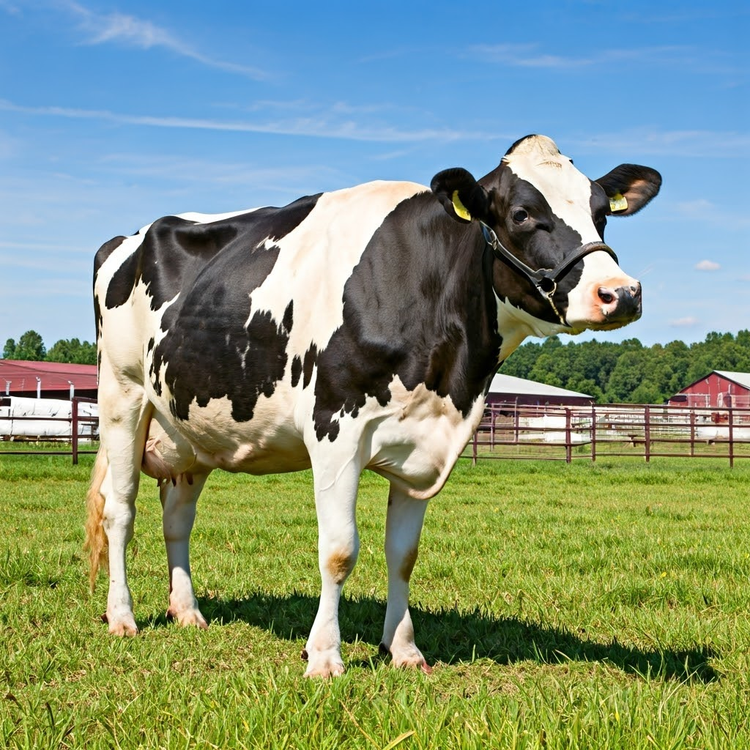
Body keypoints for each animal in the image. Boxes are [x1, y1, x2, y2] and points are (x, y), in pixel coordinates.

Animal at [85, 135, 661, 677]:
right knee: (120, 511)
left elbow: (402, 556)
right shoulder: (334, 430)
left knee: (177, 518)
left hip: (189, 425)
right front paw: (323, 656)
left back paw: (187, 612)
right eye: (522, 213)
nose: (621, 293)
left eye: (601, 212)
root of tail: (129, 236)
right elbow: (339, 551)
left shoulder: (425, 444)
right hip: (122, 397)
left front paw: (403, 649)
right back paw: (122, 617)